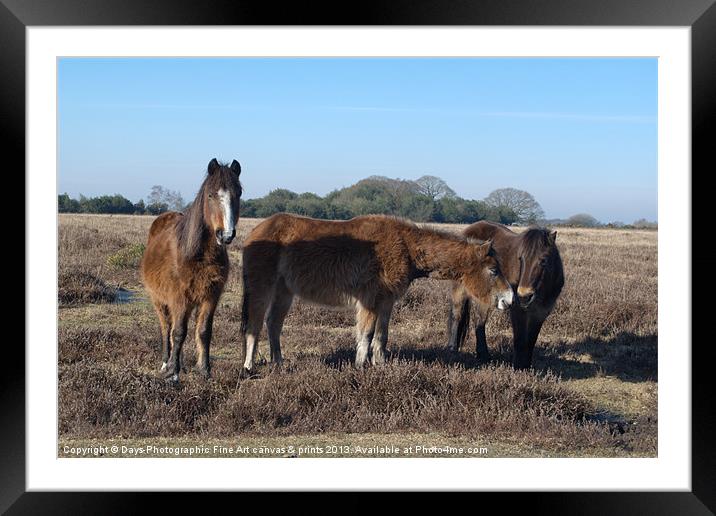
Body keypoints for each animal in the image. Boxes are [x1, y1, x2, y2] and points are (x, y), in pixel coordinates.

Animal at [140, 159, 243, 380]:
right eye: (211, 195)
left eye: (238, 193)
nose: (226, 235)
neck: (199, 255)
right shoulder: (180, 297)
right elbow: (178, 332)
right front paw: (173, 373)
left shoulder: (211, 296)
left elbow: (204, 331)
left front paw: (204, 371)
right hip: (159, 300)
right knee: (166, 328)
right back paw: (166, 363)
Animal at [241, 214, 516, 374]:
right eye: (493, 270)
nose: (509, 299)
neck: (406, 246)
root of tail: (256, 231)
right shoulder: (370, 300)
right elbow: (365, 334)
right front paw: (360, 367)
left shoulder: (386, 301)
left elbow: (381, 336)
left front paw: (380, 365)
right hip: (261, 286)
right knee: (255, 324)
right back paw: (248, 366)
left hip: (284, 290)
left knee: (273, 323)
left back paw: (278, 364)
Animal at [448, 220, 564, 368]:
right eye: (521, 259)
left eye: (543, 260)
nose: (524, 296)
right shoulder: (518, 310)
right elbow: (520, 339)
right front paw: (519, 367)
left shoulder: (541, 313)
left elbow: (531, 340)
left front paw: (527, 366)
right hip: (460, 290)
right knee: (457, 315)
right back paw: (452, 349)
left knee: (479, 321)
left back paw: (483, 356)